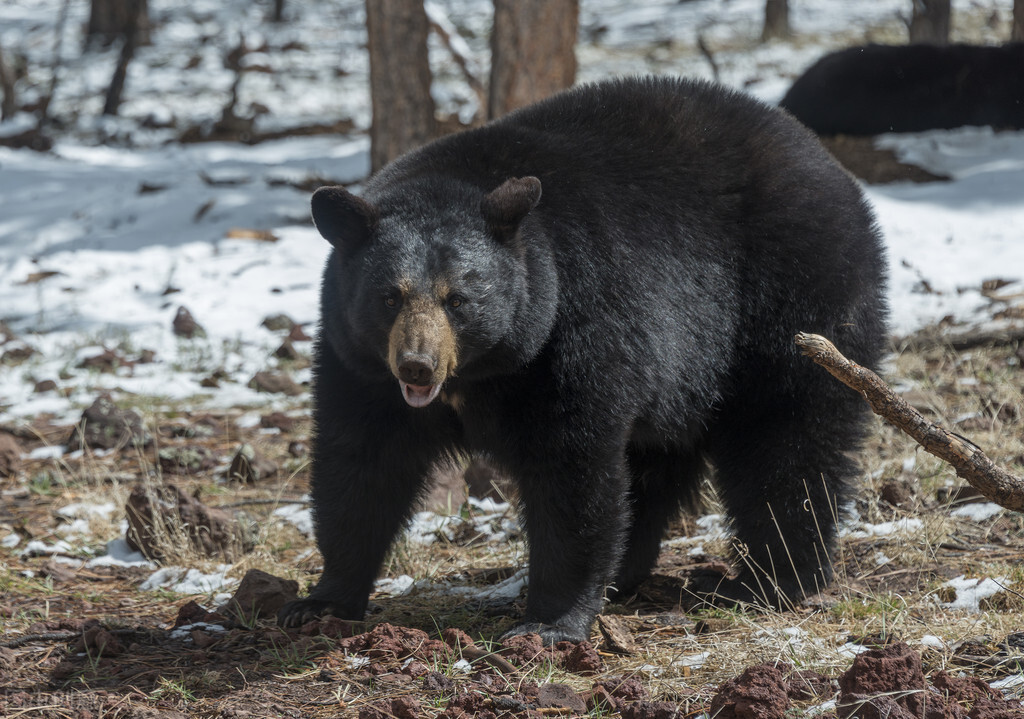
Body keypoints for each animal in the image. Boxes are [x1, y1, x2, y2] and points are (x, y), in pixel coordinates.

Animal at [280, 75, 888, 643]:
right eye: (389, 297)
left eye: (459, 300)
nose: (417, 366)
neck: (479, 374)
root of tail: (824, 158)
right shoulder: (357, 362)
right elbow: (361, 463)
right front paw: (321, 602)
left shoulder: (570, 330)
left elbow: (571, 467)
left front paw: (549, 622)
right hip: (687, 368)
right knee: (658, 462)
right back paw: (629, 572)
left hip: (795, 297)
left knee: (787, 436)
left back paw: (770, 581)